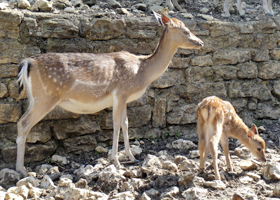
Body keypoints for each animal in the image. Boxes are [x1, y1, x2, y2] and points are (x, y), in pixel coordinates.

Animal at [15, 11, 203, 176]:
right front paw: (116, 161)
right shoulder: (120, 92)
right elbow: (116, 123)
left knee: (21, 122)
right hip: (45, 96)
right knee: (23, 123)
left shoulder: (125, 98)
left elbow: (126, 123)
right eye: (186, 31)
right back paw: (22, 170)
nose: (201, 42)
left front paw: (131, 157)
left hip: (35, 98)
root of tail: (27, 62)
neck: (142, 72)